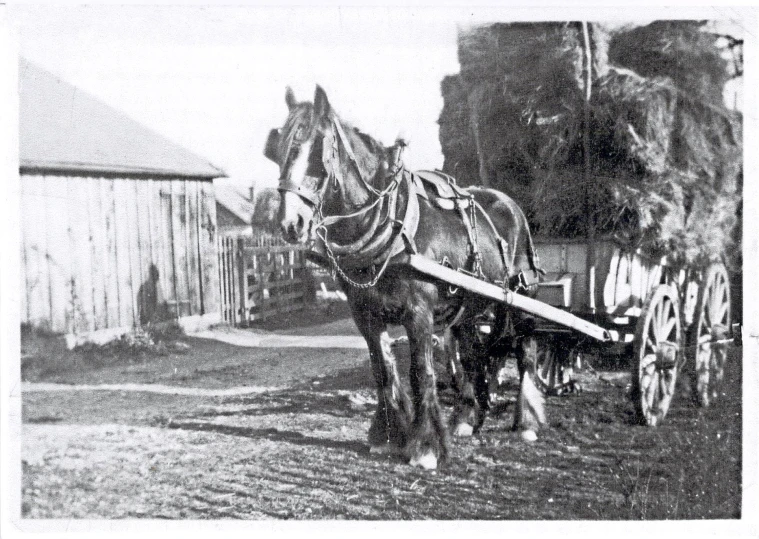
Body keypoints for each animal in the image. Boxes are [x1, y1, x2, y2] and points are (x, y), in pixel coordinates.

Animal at [266, 86, 548, 470]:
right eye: (279, 151)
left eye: (317, 154)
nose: (290, 224)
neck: (392, 227)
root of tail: (509, 204)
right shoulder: (365, 316)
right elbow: (384, 372)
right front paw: (388, 436)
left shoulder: (419, 314)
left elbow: (420, 373)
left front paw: (425, 447)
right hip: (467, 309)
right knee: (472, 355)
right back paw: (465, 419)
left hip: (522, 298)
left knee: (526, 349)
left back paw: (527, 423)